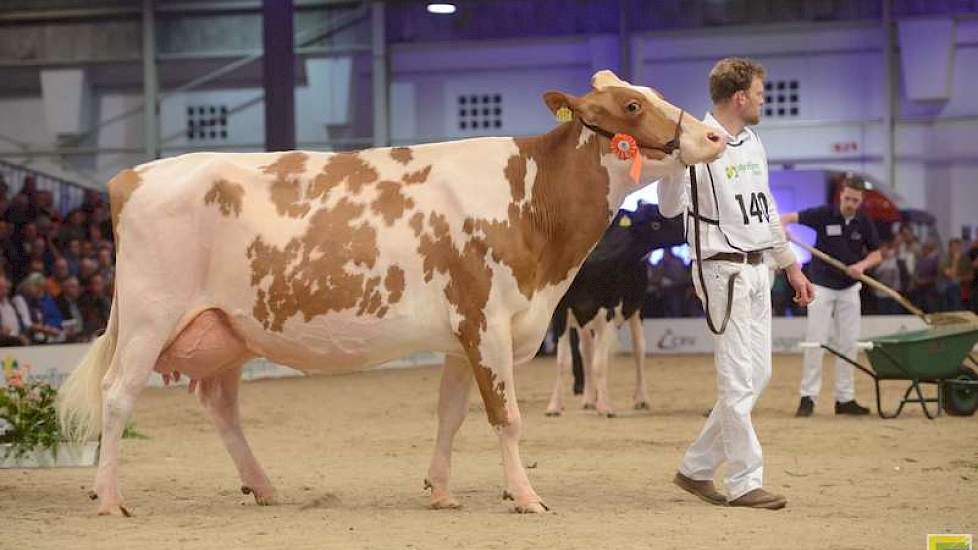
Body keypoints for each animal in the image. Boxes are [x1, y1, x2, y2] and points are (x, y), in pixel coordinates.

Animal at [544, 204, 684, 418]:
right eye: (655, 224)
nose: (685, 227)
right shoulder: (560, 313)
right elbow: (563, 362)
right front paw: (554, 406)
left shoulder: (608, 313)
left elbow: (600, 363)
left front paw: (605, 407)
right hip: (585, 321)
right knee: (586, 351)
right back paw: (588, 399)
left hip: (636, 309)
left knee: (638, 350)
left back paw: (640, 399)